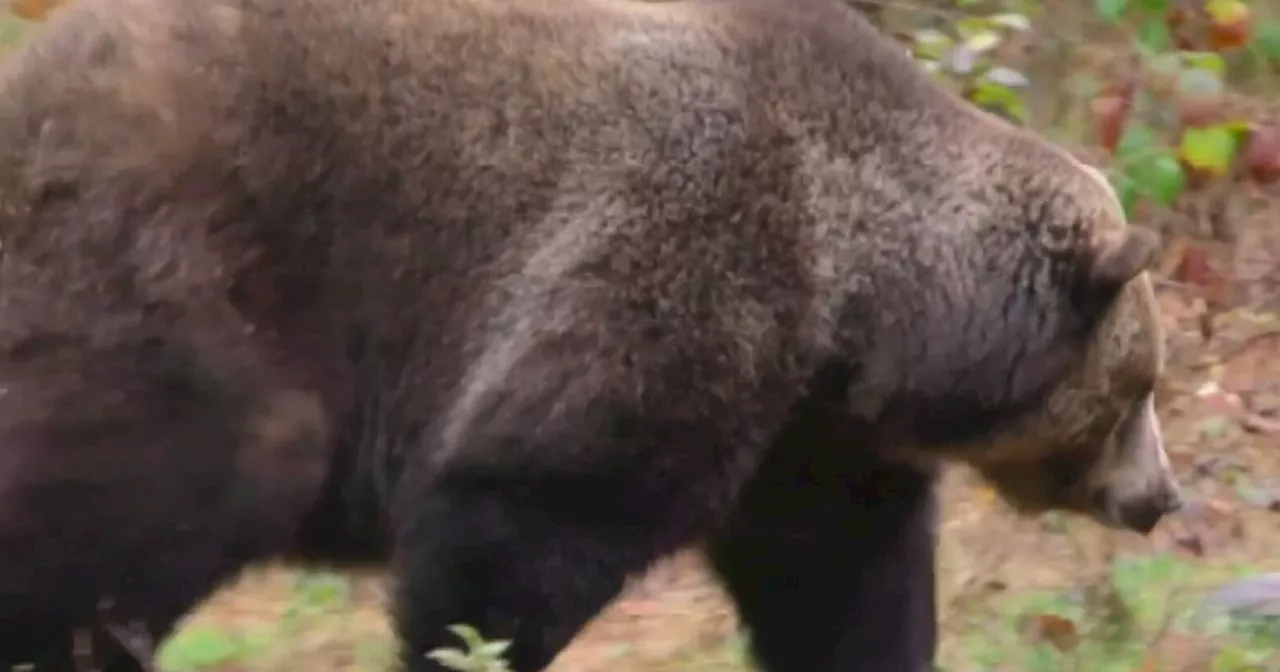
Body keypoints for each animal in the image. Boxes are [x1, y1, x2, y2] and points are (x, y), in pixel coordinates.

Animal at [0, 1, 1177, 670]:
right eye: (1137, 391)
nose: (1162, 497)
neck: (859, 303)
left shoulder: (806, 438)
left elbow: (843, 581)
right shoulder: (671, 267)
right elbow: (519, 527)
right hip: (185, 261)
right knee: (179, 474)